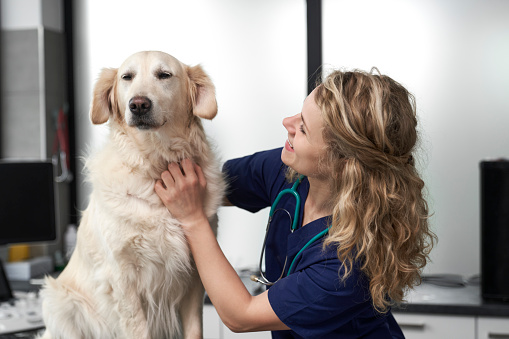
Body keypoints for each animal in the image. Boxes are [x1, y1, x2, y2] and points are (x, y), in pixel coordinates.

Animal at [37, 51, 224, 339]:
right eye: (127, 77)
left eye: (164, 75)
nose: (138, 105)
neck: (154, 163)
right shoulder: (122, 278)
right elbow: (137, 327)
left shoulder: (195, 274)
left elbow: (194, 329)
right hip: (60, 302)